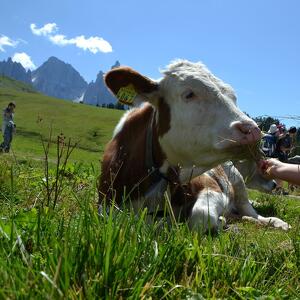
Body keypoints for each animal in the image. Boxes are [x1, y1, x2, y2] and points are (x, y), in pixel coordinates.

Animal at [98, 59, 262, 230]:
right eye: (189, 94)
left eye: (233, 97)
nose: (253, 130)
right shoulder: (106, 208)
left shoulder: (212, 187)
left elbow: (201, 215)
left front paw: (220, 221)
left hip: (238, 181)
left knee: (251, 212)